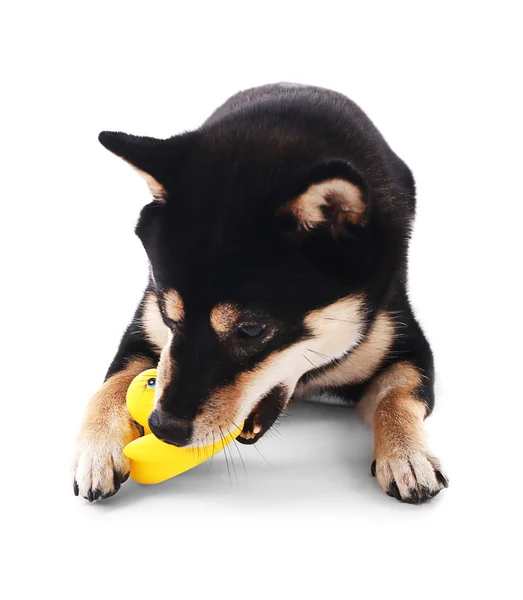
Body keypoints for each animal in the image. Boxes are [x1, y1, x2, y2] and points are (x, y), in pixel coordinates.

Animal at [74, 83, 450, 502]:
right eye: (169, 316)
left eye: (252, 330)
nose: (163, 429)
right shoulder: (145, 331)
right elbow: (110, 386)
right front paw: (95, 450)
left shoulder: (404, 343)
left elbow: (395, 397)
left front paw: (406, 455)